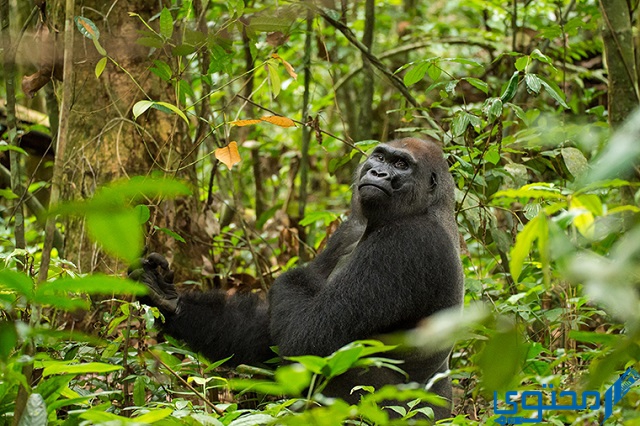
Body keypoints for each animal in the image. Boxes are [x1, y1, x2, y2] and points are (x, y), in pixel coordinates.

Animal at [132, 137, 462, 420]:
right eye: (380, 157)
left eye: (402, 165)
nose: (378, 172)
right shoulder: (349, 229)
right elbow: (267, 337)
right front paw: (169, 299)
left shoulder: (407, 242)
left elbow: (307, 337)